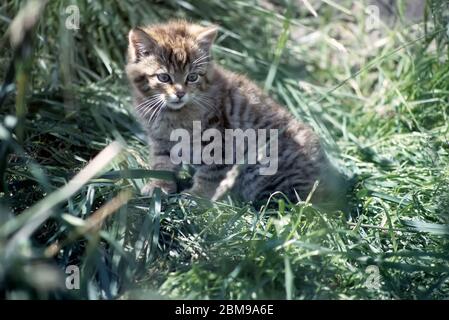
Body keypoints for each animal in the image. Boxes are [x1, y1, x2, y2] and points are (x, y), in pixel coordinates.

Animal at [126, 20, 346, 206]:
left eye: (193, 77)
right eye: (164, 77)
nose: (180, 93)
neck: (173, 112)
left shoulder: (217, 140)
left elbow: (210, 173)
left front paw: (197, 197)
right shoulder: (161, 139)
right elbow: (162, 162)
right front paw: (159, 186)